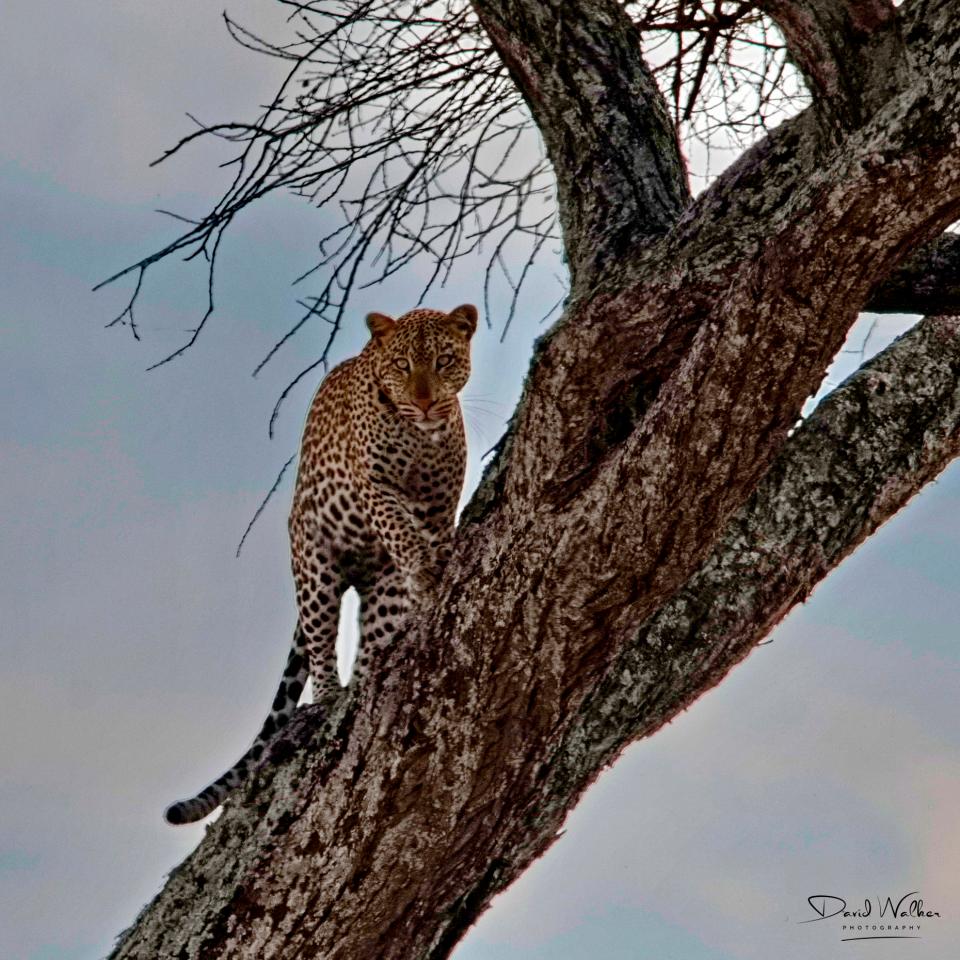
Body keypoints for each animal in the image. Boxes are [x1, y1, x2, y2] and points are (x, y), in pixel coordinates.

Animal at [165, 303, 477, 824]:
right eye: (403, 366)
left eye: (444, 361)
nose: (426, 402)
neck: (419, 433)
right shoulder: (375, 486)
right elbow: (399, 526)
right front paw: (424, 566)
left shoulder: (439, 505)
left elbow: (429, 535)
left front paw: (432, 566)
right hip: (314, 565)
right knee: (319, 640)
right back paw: (330, 698)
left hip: (380, 588)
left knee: (372, 639)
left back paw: (367, 676)